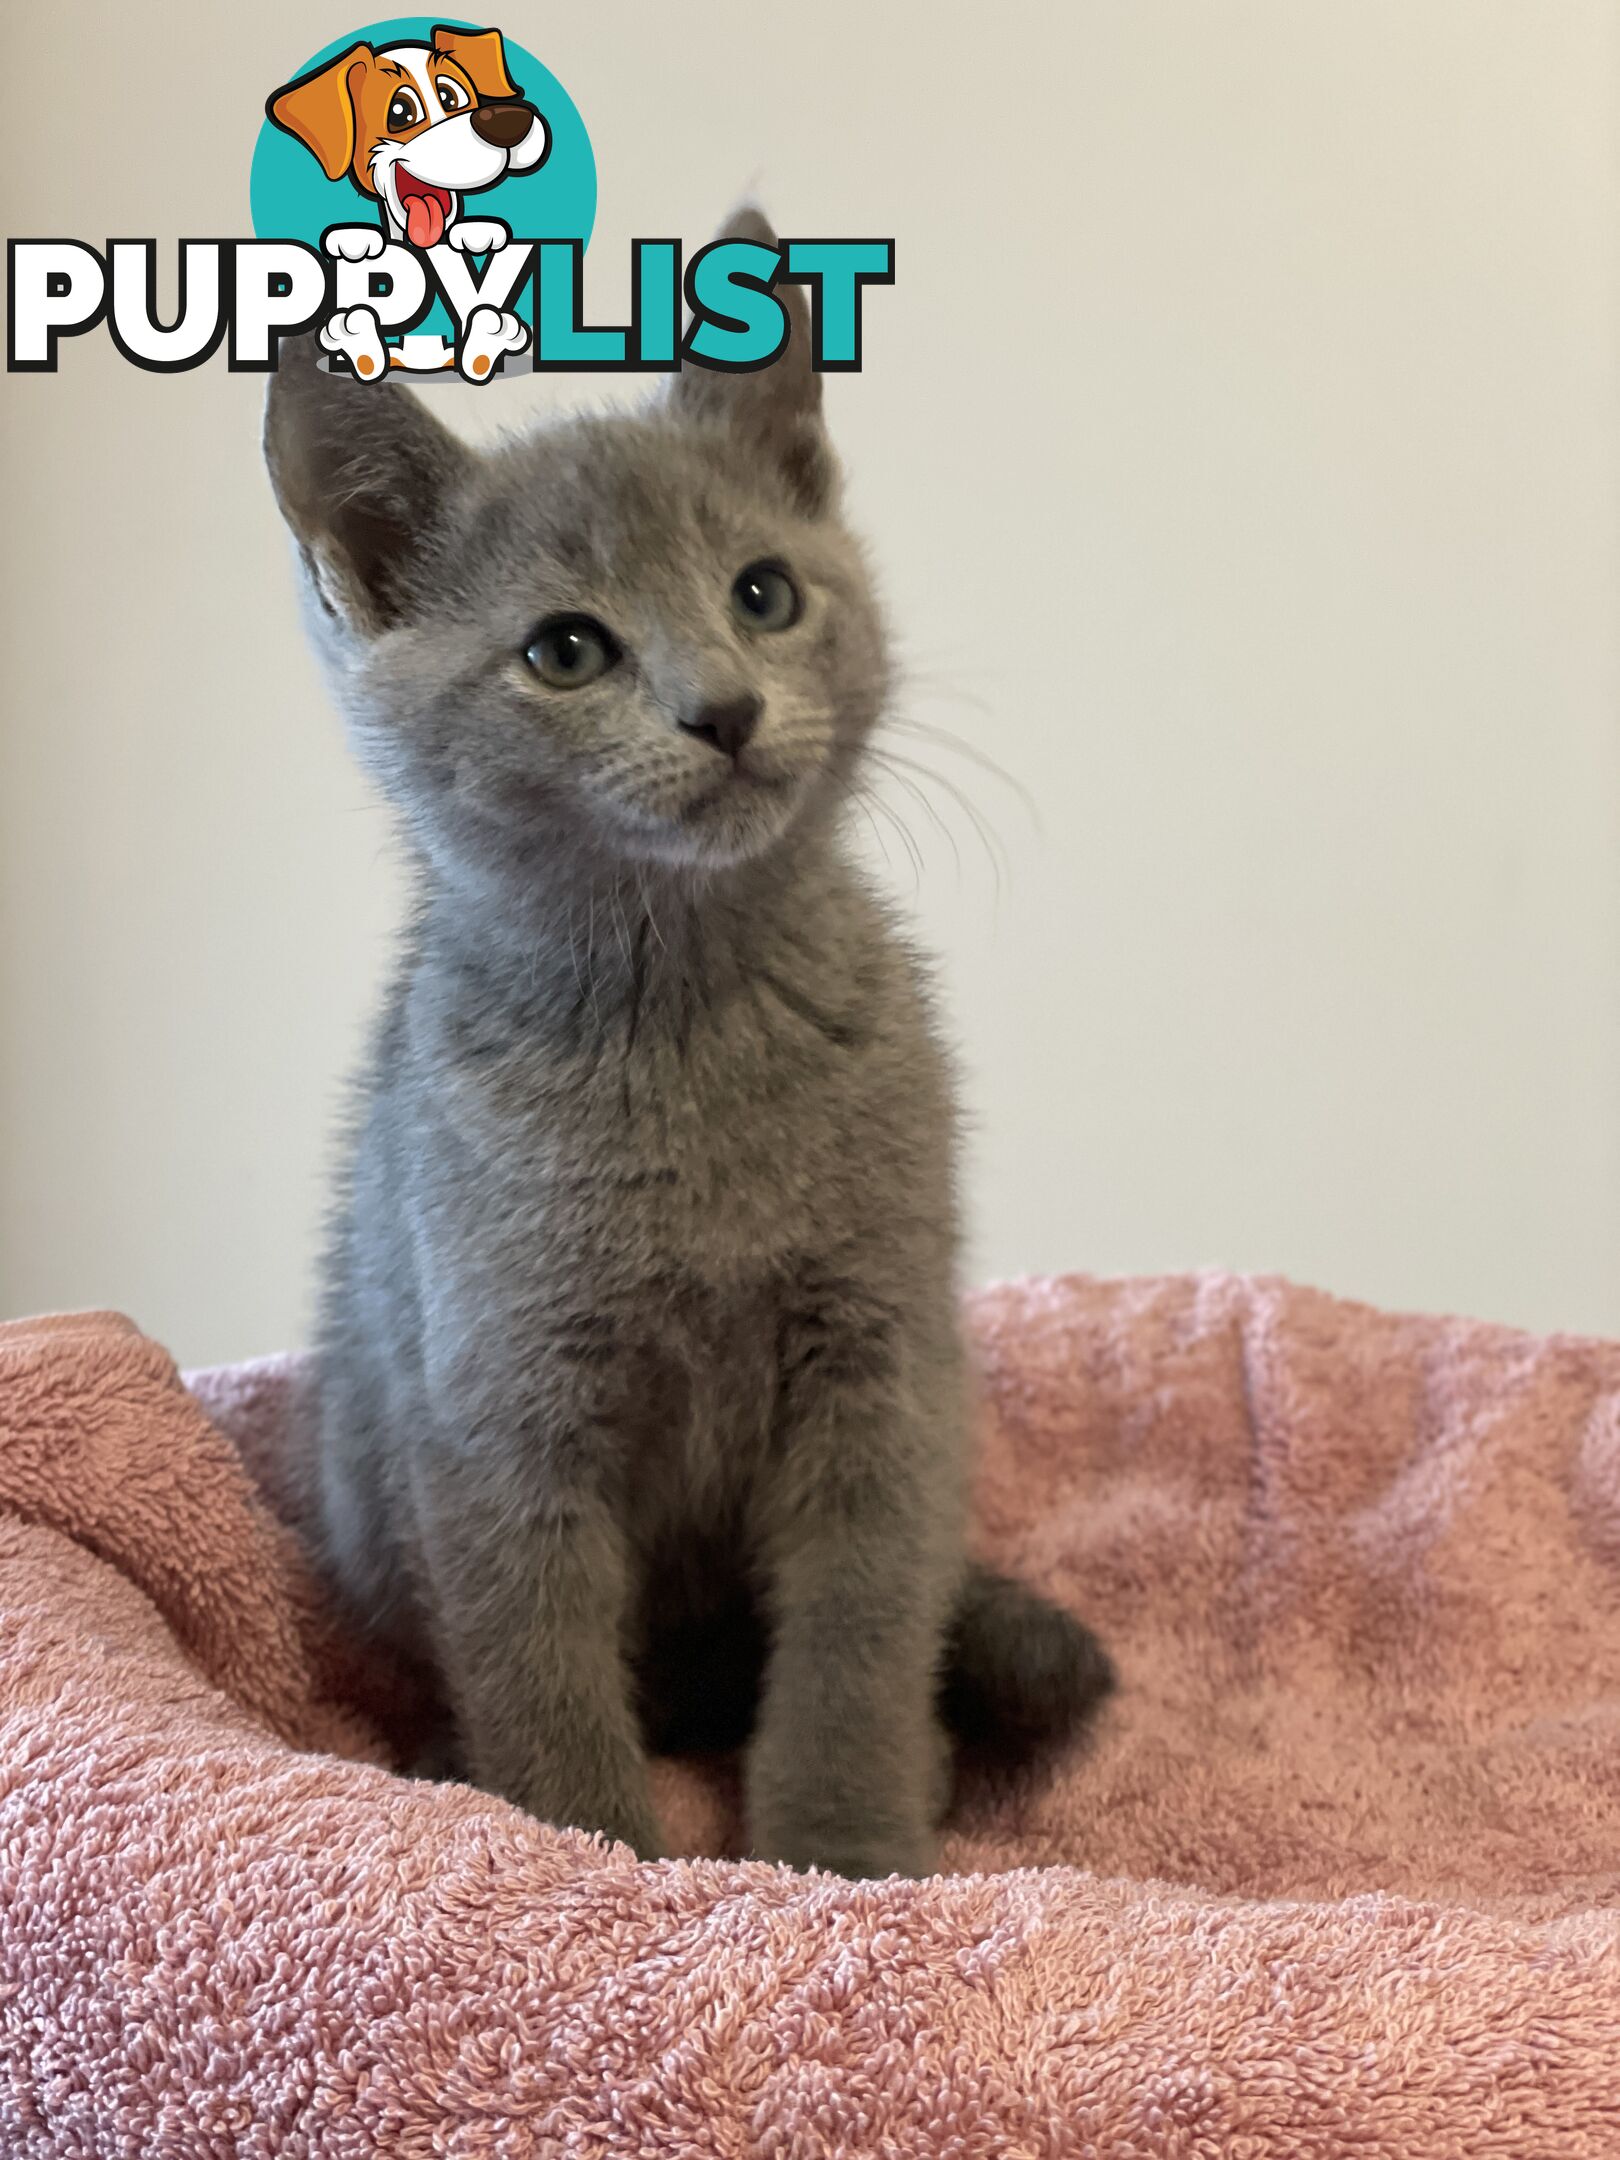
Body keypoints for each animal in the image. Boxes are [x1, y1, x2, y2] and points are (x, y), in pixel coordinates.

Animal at [266, 210, 1114, 1883]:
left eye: (765, 594)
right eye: (565, 650)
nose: (721, 709)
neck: (687, 1022)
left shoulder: (880, 1368)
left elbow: (855, 1642)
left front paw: (845, 1850)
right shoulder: (499, 1406)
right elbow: (537, 1663)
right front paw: (580, 1854)